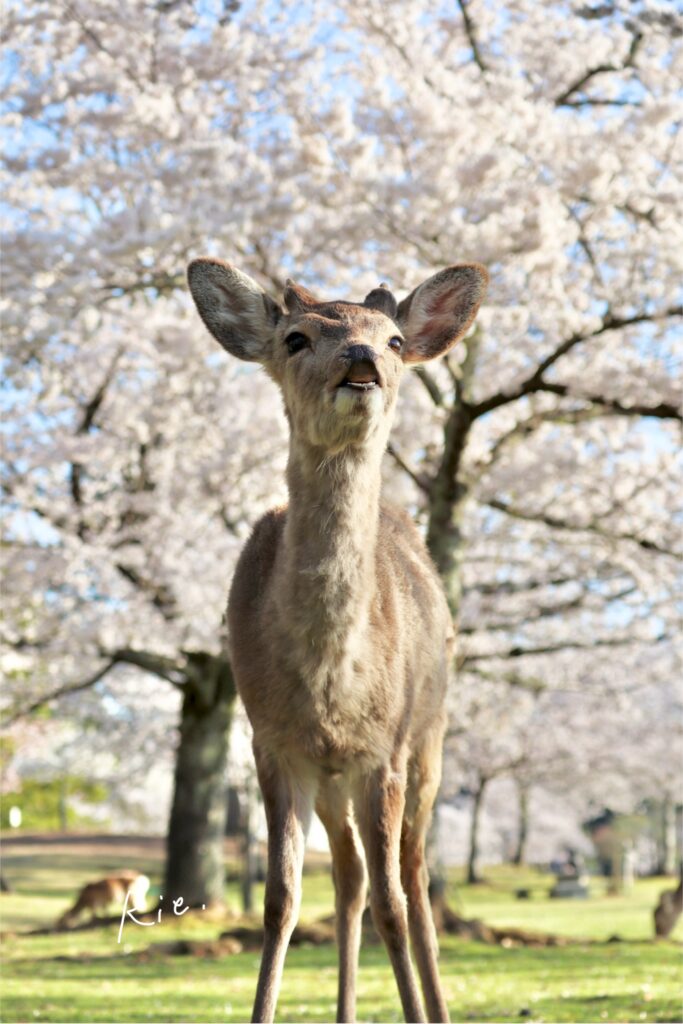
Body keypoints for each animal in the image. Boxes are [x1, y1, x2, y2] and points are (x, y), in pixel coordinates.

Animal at [187, 255, 488, 1024]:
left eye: (392, 339)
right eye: (295, 337)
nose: (360, 360)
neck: (331, 683)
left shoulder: (384, 749)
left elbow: (392, 908)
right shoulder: (273, 744)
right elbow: (280, 901)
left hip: (430, 740)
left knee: (412, 879)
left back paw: (437, 1003)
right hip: (332, 782)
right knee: (350, 876)